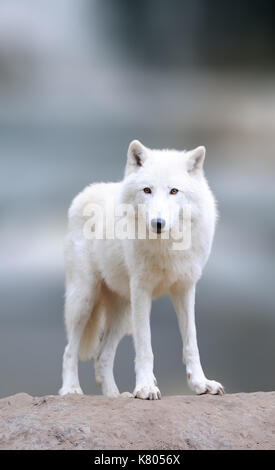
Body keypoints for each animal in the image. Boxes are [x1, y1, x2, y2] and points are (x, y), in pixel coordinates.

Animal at [59, 140, 224, 400]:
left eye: (174, 191)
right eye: (147, 190)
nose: (158, 223)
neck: (166, 246)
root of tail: (86, 192)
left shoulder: (185, 288)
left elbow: (191, 342)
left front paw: (201, 383)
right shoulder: (141, 291)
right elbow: (145, 346)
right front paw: (146, 387)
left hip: (123, 313)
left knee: (102, 356)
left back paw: (116, 396)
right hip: (84, 300)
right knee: (69, 350)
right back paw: (71, 389)